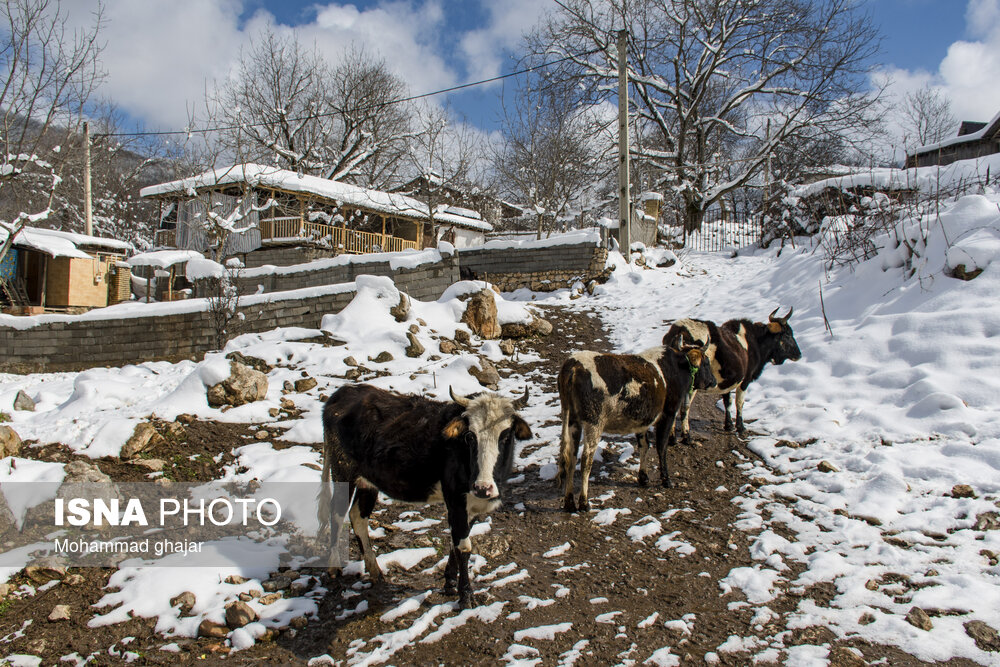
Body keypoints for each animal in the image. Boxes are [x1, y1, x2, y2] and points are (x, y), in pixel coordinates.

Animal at [324, 384, 536, 608]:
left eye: (505, 436)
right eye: (470, 436)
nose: (483, 488)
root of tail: (343, 392)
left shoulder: (470, 506)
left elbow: (455, 541)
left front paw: (450, 582)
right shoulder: (455, 500)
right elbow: (463, 546)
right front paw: (466, 596)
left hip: (367, 483)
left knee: (358, 517)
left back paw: (375, 571)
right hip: (342, 473)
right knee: (336, 515)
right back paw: (334, 569)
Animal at [556, 342, 720, 516]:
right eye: (706, 363)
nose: (713, 381)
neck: (675, 367)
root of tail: (574, 365)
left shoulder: (641, 420)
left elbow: (644, 445)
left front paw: (643, 476)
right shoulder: (668, 413)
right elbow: (661, 446)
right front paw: (666, 479)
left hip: (573, 420)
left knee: (571, 458)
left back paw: (569, 503)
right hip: (594, 423)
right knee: (586, 460)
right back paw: (584, 502)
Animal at [664, 308, 804, 444]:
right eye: (787, 334)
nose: (799, 354)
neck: (755, 342)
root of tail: (678, 332)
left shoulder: (726, 382)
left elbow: (727, 401)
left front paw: (729, 425)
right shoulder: (745, 380)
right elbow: (739, 402)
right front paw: (740, 427)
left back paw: (672, 438)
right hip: (692, 386)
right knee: (683, 409)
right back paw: (685, 437)